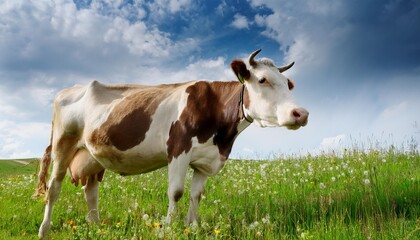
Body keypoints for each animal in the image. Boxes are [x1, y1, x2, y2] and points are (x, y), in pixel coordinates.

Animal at [33, 49, 308, 238]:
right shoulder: (178, 150)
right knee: (53, 188)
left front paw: (192, 226)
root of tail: (67, 90)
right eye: (262, 80)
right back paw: (44, 230)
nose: (301, 113)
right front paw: (168, 227)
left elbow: (197, 194)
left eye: (288, 84)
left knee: (90, 192)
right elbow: (175, 192)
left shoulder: (204, 159)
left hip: (93, 156)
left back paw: (96, 226)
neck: (222, 137)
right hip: (63, 145)